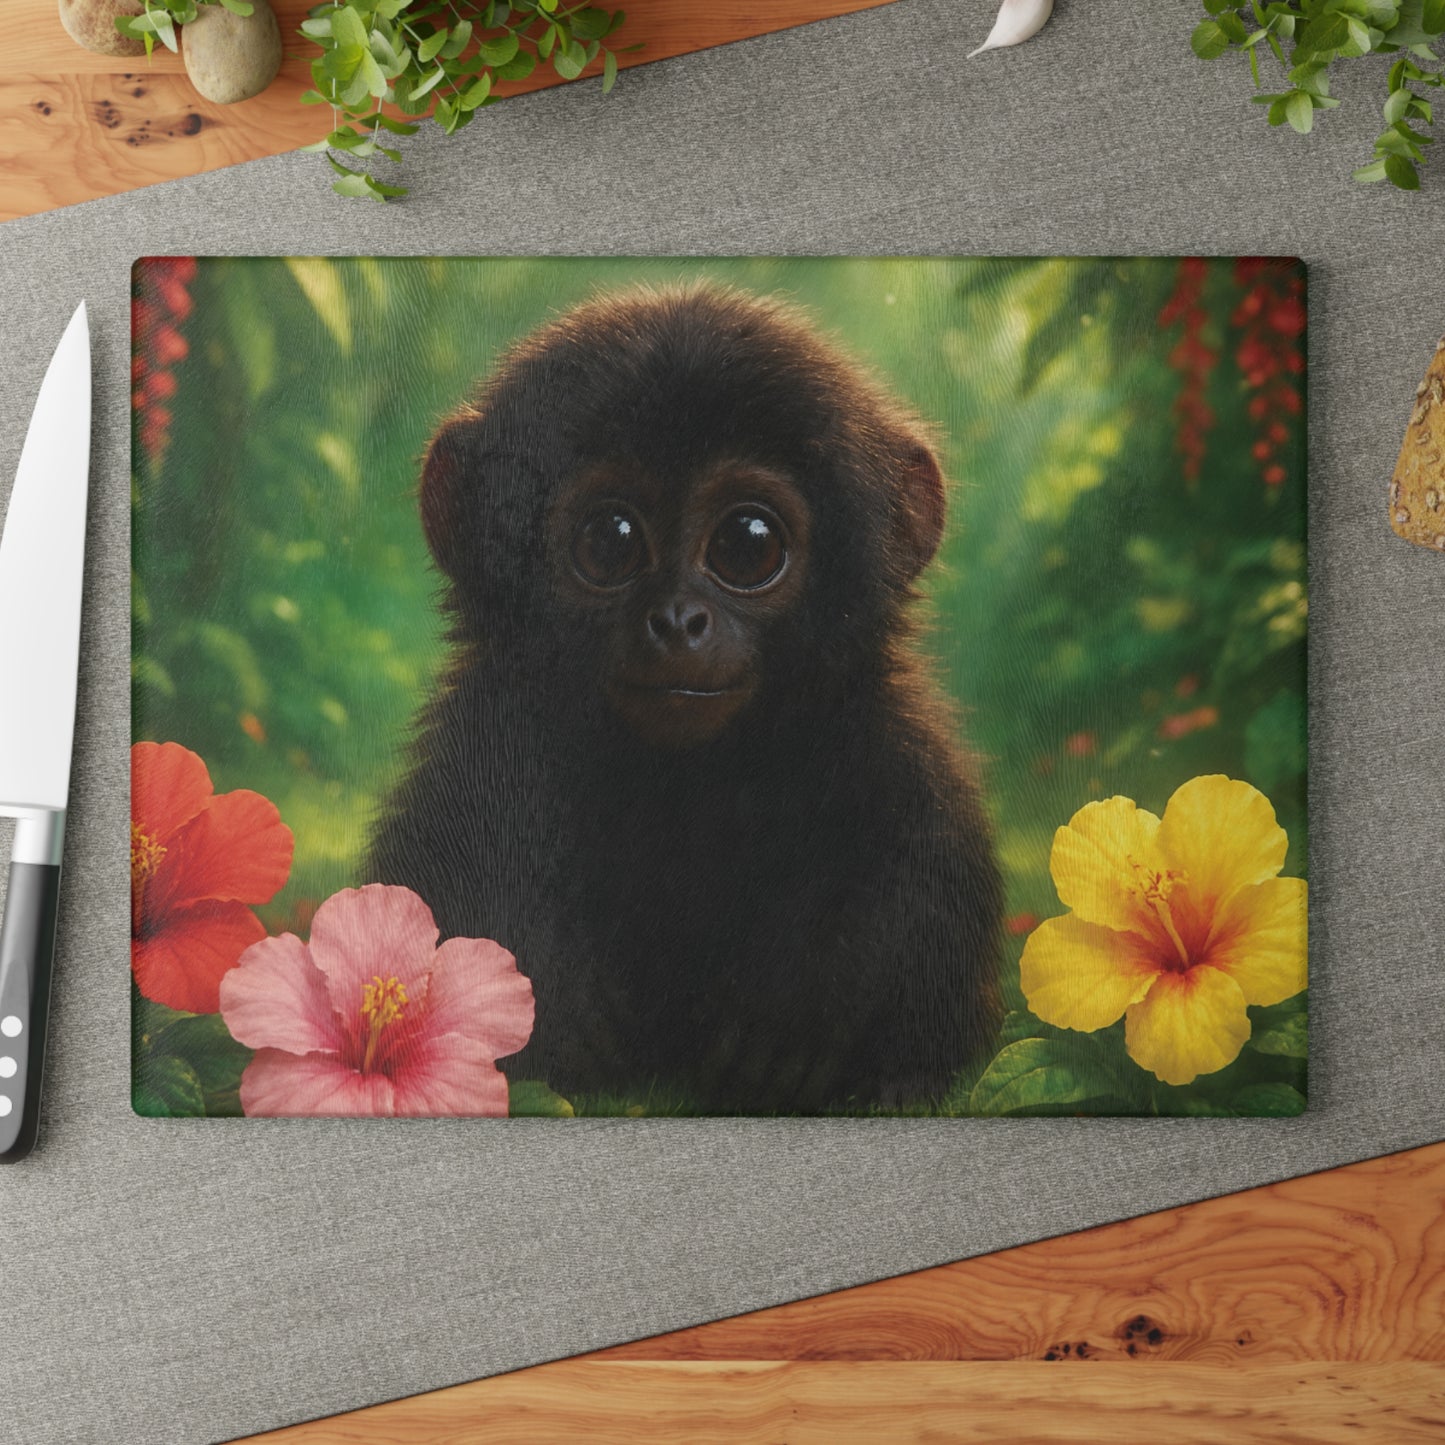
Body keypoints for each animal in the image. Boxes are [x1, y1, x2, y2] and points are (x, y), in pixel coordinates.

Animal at [366, 282, 1003, 1114]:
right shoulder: (474, 749)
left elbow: (923, 874)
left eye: (747, 543)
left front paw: (794, 1024)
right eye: (609, 538)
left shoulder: (895, 747)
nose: (676, 619)